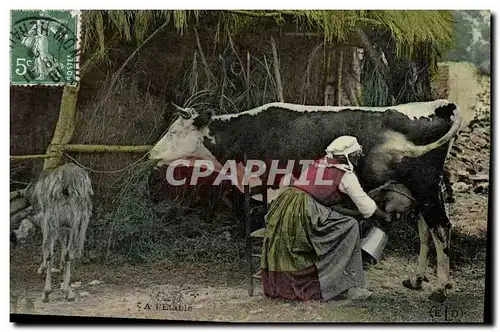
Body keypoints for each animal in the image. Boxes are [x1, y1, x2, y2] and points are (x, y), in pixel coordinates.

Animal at [148, 99, 460, 300]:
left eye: (174, 131)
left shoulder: (274, 188)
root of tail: (441, 104)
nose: (151, 153)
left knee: (440, 228)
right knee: (425, 231)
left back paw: (440, 289)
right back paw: (416, 279)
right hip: (419, 192)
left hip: (426, 187)